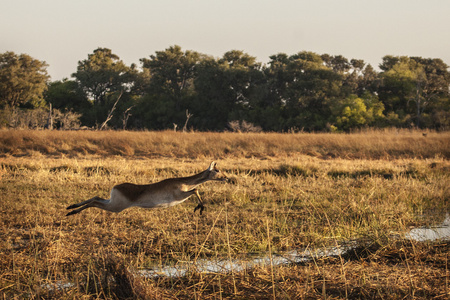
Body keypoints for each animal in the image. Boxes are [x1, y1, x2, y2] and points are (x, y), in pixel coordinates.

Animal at [65, 162, 227, 216]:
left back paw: (70, 207)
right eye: (217, 170)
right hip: (116, 206)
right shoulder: (180, 195)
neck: (184, 182)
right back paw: (72, 212)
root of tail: (116, 187)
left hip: (112, 202)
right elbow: (196, 190)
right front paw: (200, 208)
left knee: (96, 197)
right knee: (94, 202)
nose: (226, 177)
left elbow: (196, 190)